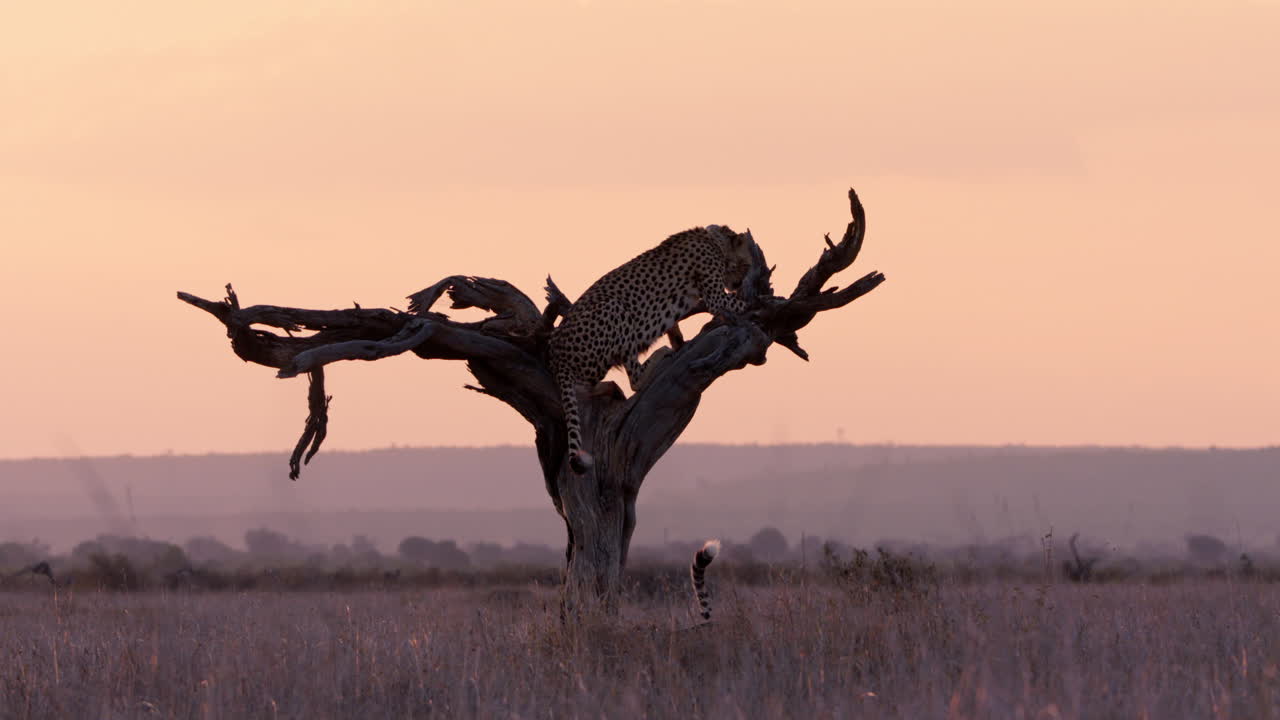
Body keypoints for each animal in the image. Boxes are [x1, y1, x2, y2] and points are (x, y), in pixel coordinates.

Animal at [549, 224, 756, 474]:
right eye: (746, 265)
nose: (737, 285)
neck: (715, 241)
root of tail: (556, 355)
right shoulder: (716, 297)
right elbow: (746, 302)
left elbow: (675, 327)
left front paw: (680, 342)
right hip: (615, 307)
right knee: (634, 379)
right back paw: (660, 353)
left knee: (586, 387)